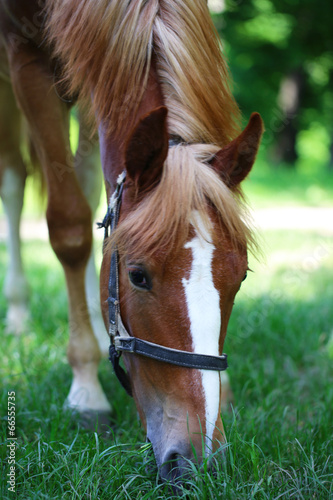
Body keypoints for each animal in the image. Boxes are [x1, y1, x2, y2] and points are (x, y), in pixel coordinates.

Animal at [0, 0, 262, 484]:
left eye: (241, 277)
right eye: (138, 277)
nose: (197, 457)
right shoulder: (24, 55)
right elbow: (69, 227)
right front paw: (86, 390)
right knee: (13, 181)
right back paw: (21, 311)